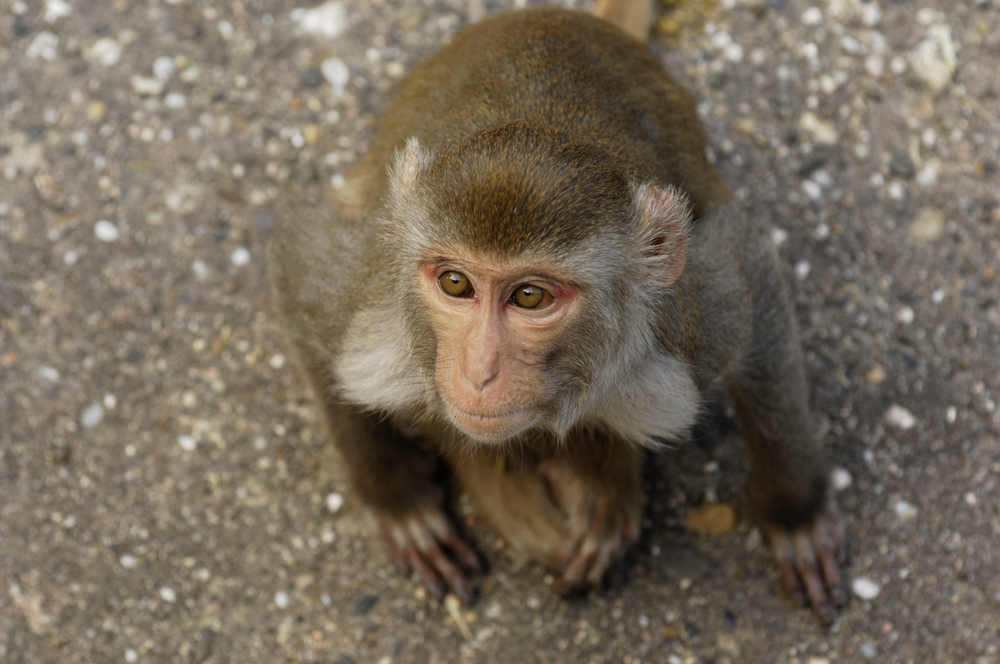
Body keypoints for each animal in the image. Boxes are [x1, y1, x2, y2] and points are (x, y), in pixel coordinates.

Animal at [270, 0, 848, 624]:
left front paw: (795, 511)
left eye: (530, 297)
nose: (479, 371)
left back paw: (600, 479)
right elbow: (298, 261)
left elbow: (757, 295)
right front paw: (394, 492)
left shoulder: (694, 321)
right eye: (455, 283)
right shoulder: (368, 299)